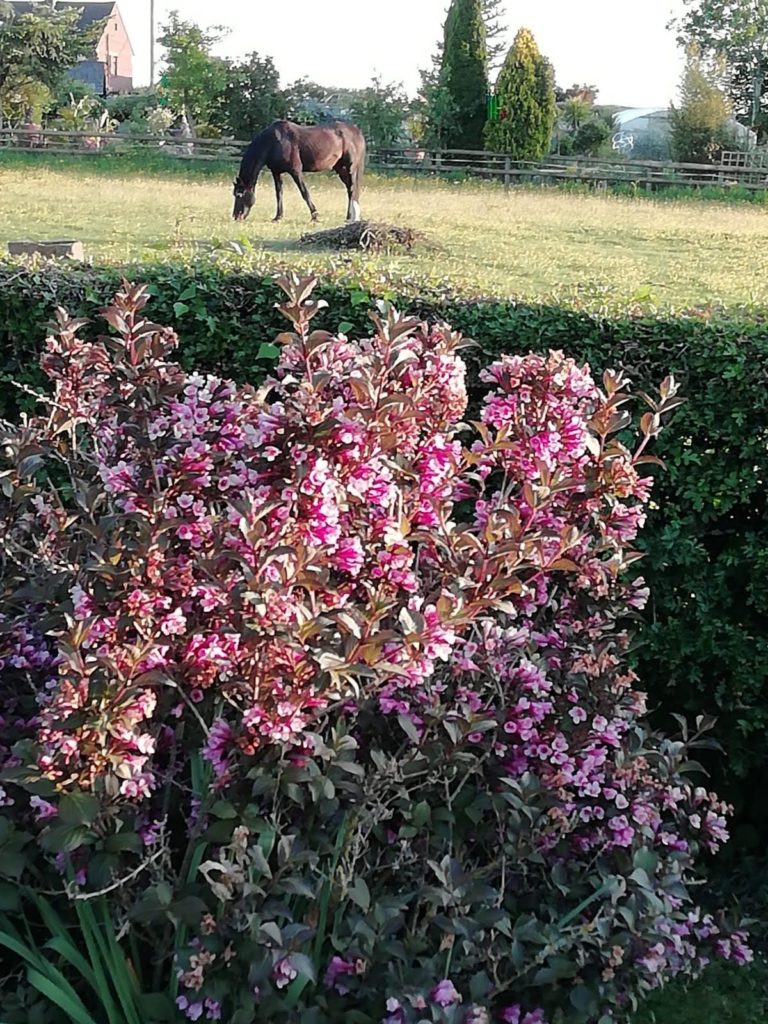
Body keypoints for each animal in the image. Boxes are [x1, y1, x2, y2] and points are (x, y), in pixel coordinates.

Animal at [233, 119, 368, 224]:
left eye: (239, 195)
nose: (236, 216)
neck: (274, 142)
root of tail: (357, 131)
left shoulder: (295, 171)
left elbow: (304, 193)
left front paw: (315, 216)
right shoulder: (276, 172)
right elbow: (279, 194)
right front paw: (278, 217)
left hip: (350, 168)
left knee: (352, 189)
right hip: (340, 168)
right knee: (350, 190)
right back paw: (349, 217)